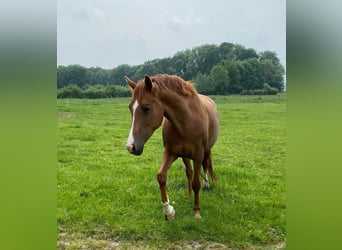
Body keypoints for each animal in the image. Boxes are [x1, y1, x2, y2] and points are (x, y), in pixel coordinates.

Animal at [125, 73, 219, 219]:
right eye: (130, 107)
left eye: (146, 108)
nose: (131, 146)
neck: (186, 121)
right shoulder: (171, 153)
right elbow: (161, 177)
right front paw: (169, 211)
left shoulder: (198, 155)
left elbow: (196, 183)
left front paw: (197, 212)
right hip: (184, 155)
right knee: (189, 172)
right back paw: (189, 194)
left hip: (207, 150)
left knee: (206, 164)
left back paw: (206, 184)